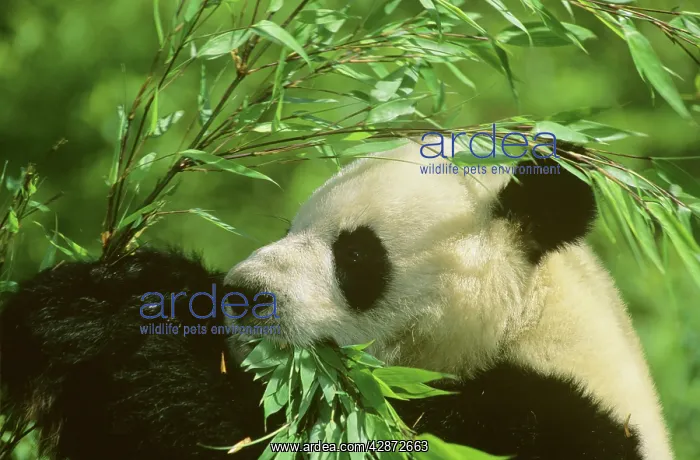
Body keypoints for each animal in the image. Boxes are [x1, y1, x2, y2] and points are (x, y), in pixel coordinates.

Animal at [0, 140, 672, 460]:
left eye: (355, 255)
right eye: (293, 225)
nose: (244, 295)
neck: (528, 322)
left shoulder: (540, 425)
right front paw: (87, 302)